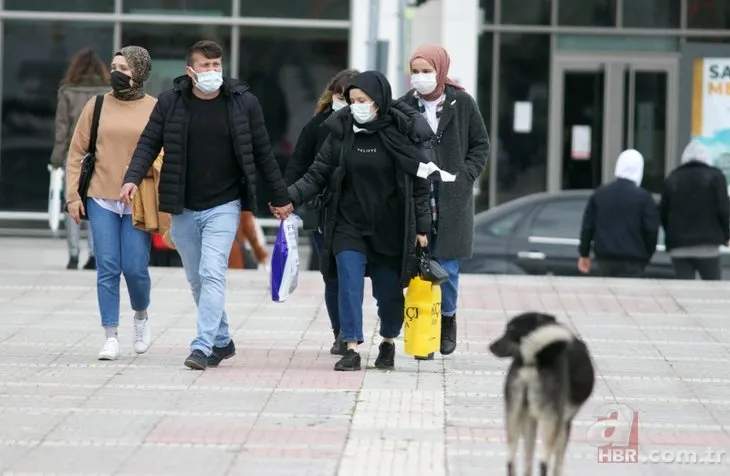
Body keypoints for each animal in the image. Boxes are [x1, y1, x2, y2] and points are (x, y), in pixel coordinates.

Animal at [486, 312, 596, 476]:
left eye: (511, 331)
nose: (491, 346)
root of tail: (532, 361)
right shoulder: (563, 424)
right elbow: (558, 464)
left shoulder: (529, 420)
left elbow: (528, 459)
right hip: (549, 423)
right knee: (543, 462)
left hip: (514, 417)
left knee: (511, 461)